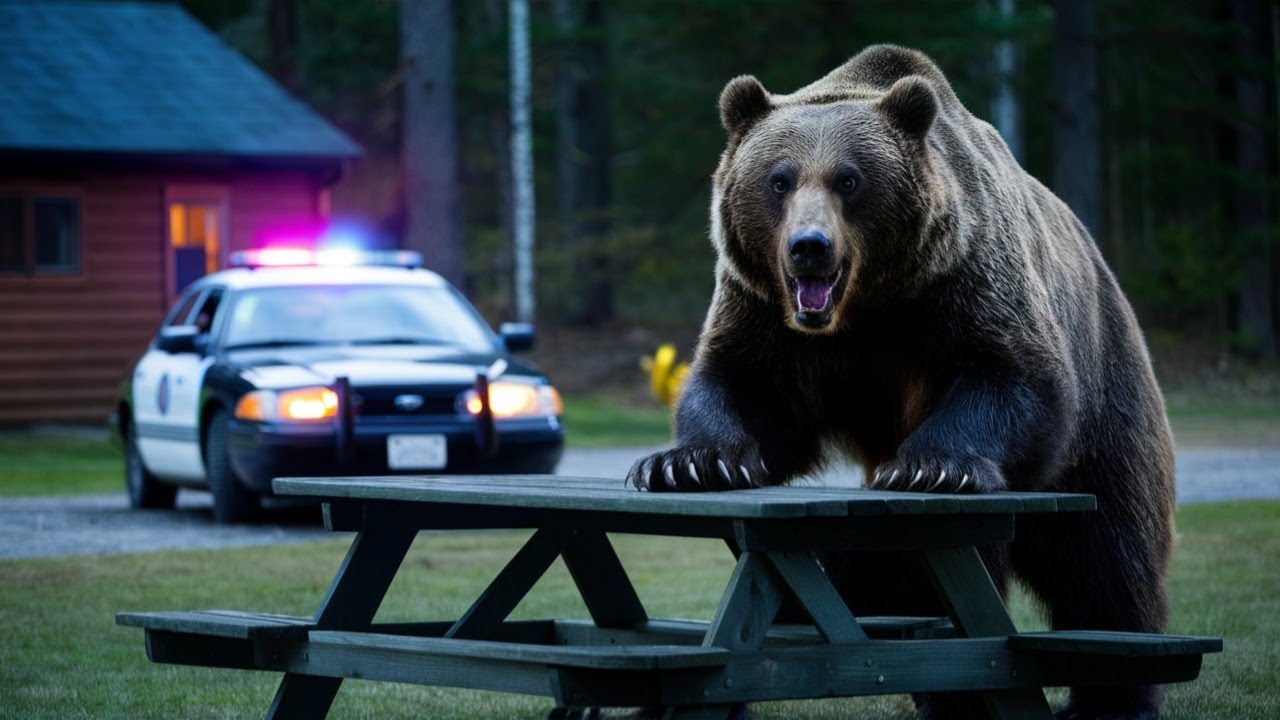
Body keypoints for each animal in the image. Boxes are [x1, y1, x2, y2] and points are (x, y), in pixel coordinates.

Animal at [628, 45, 1176, 720]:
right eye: (779, 179)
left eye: (849, 179)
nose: (809, 247)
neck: (867, 309)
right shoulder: (767, 315)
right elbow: (744, 388)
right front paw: (690, 464)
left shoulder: (962, 285)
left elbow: (1014, 379)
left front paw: (933, 468)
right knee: (889, 570)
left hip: (1109, 384)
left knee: (1107, 554)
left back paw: (1115, 692)